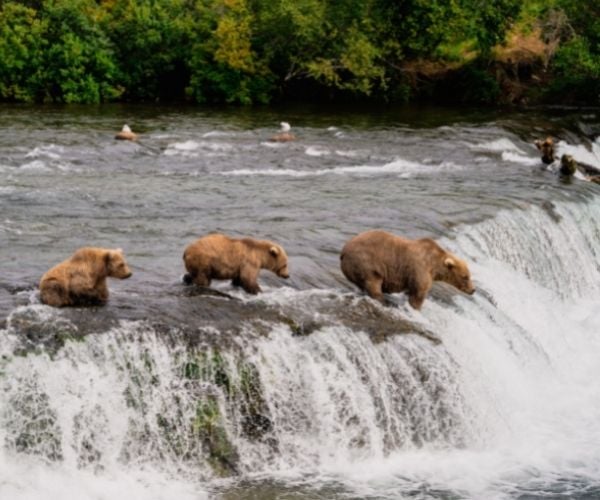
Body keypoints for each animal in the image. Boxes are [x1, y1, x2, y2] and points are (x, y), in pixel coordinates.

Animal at [340, 230, 476, 308]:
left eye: (469, 275)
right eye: (465, 276)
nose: (473, 290)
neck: (434, 265)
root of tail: (343, 251)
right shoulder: (420, 269)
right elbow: (418, 293)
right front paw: (416, 307)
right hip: (366, 263)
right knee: (373, 283)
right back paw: (384, 301)